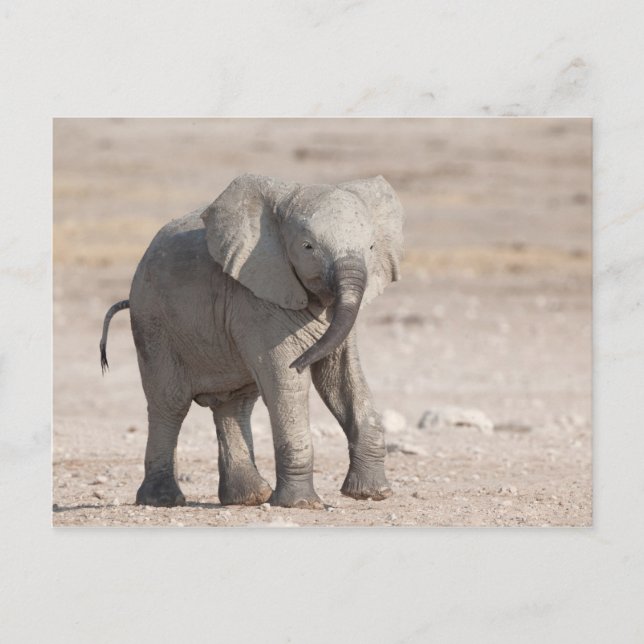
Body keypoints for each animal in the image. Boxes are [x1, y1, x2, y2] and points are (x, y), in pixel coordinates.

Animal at [99, 173, 404, 509]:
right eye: (307, 247)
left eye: (372, 246)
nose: (302, 361)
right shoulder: (255, 300)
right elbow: (284, 381)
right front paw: (301, 504)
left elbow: (340, 379)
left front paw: (372, 494)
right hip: (153, 323)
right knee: (170, 404)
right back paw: (163, 500)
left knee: (234, 404)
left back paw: (247, 498)